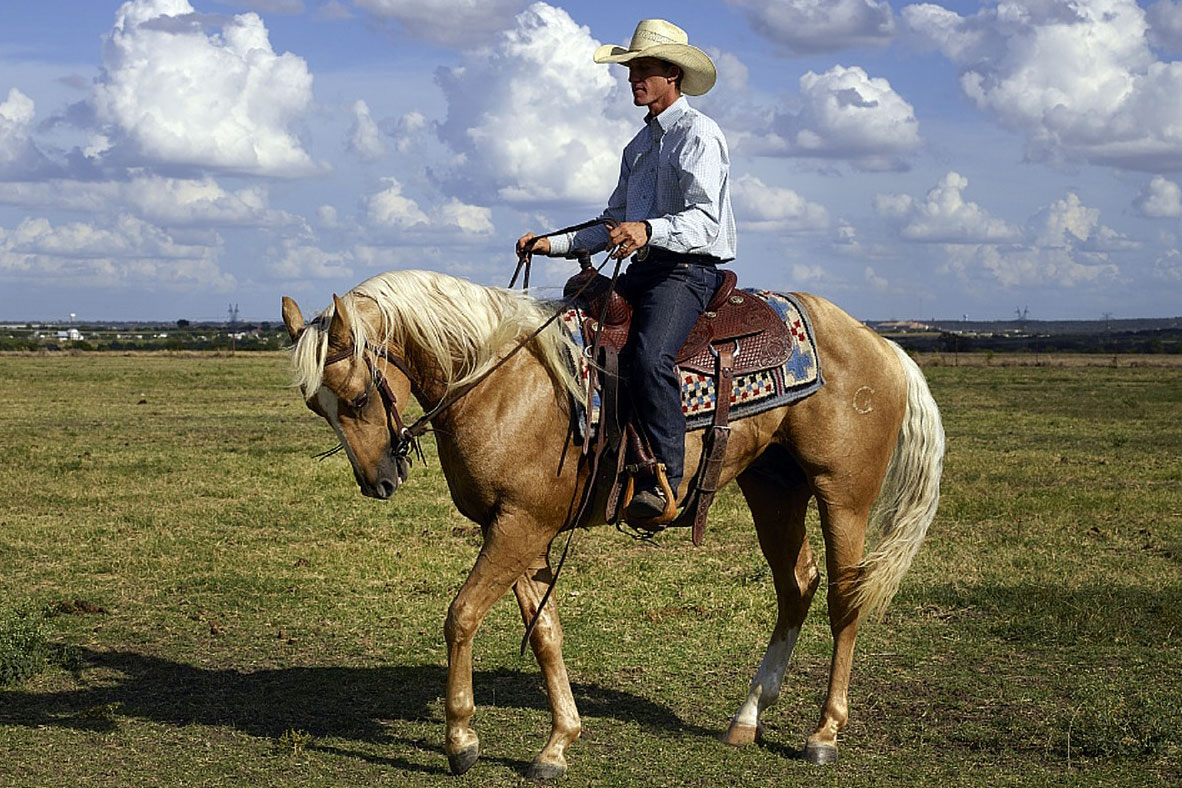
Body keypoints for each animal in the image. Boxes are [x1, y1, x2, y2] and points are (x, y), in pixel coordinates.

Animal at [281, 268, 945, 779]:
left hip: (843, 498)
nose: (378, 481)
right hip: (774, 489)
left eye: (358, 398)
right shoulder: (522, 528)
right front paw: (557, 744)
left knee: (844, 600)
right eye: (317, 405)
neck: (503, 381)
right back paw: (748, 717)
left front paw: (462, 741)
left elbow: (461, 616)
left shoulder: (519, 525)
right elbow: (545, 632)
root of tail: (880, 344)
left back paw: (824, 734)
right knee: (796, 586)